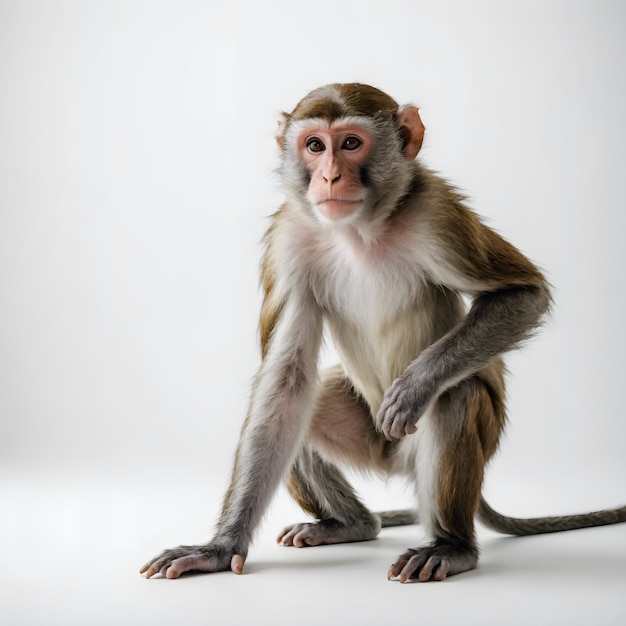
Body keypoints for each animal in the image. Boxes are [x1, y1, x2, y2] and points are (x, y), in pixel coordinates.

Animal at [141, 83, 624, 580]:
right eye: (315, 146)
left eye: (351, 143)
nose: (330, 177)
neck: (359, 231)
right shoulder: (288, 237)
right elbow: (284, 385)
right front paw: (219, 547)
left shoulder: (437, 211)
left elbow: (522, 294)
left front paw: (417, 385)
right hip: (375, 445)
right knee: (302, 406)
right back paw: (351, 524)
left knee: (456, 398)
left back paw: (451, 545)